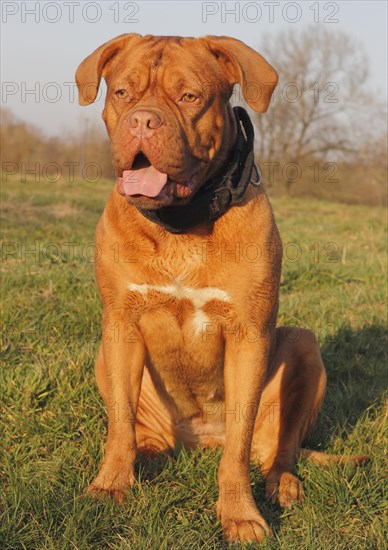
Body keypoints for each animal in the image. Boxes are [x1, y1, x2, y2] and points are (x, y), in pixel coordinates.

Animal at [76, 34, 366, 548]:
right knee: (135, 426)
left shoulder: (249, 335)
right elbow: (119, 424)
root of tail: (199, 441)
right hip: (105, 355)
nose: (142, 121)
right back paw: (146, 454)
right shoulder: (121, 321)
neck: (181, 223)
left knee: (278, 448)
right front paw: (110, 485)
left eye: (190, 96)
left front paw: (240, 515)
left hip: (303, 346)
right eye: (123, 93)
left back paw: (282, 483)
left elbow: (239, 444)